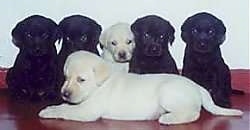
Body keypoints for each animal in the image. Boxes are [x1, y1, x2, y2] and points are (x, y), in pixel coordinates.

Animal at [38, 50, 242, 125]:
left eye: (81, 80)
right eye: (66, 78)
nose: (64, 93)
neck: (100, 84)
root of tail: (198, 87)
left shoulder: (87, 111)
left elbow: (67, 110)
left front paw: (48, 111)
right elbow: (65, 106)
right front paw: (53, 106)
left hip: (167, 93)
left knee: (194, 114)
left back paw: (168, 118)